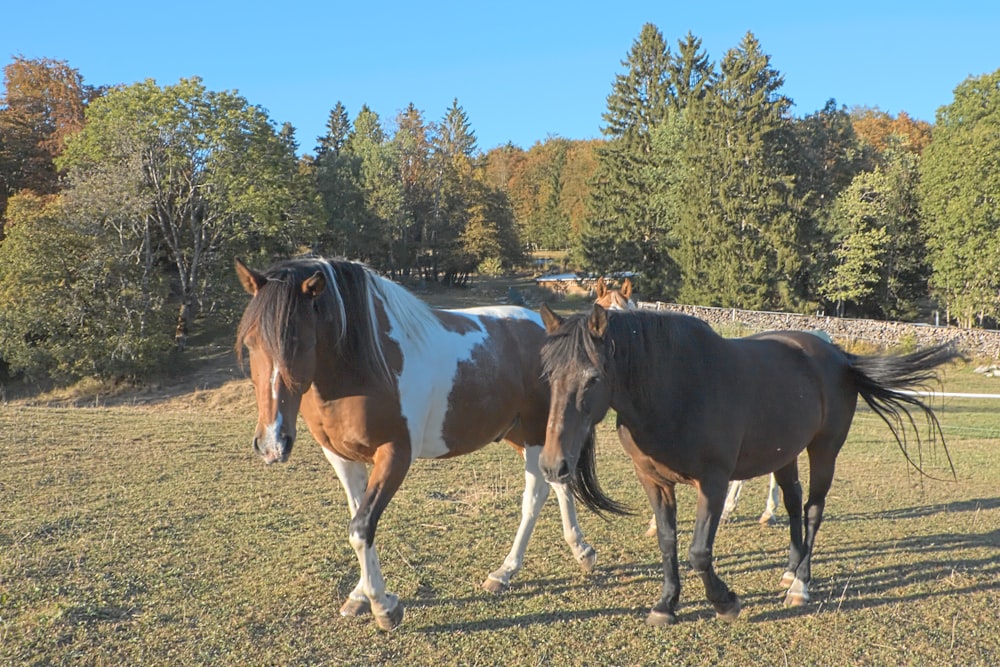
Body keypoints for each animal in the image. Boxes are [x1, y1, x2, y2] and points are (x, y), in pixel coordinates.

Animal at [235, 258, 600, 636]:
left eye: (297, 340)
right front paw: (360, 595)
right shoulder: (342, 458)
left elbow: (361, 528)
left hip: (535, 434)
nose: (271, 443)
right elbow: (359, 521)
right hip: (522, 435)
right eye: (250, 342)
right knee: (558, 483)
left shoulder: (395, 455)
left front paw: (384, 608)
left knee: (535, 496)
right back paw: (580, 552)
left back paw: (506, 571)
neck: (365, 364)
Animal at [536, 302, 956, 628]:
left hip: (824, 451)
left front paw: (726, 603)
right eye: (548, 375)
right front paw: (666, 605)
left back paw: (801, 584)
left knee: (813, 509)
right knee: (793, 502)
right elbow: (667, 542)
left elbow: (699, 552)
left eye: (592, 378)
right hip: (785, 454)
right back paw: (790, 569)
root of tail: (838, 355)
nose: (553, 466)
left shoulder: (714, 481)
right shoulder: (654, 481)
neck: (676, 388)